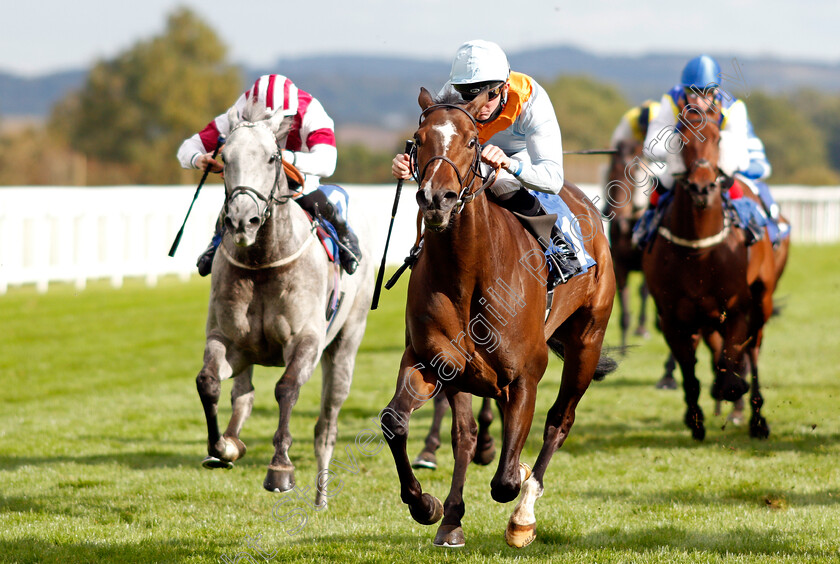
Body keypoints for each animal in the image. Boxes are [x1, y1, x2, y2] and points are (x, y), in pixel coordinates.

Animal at [195, 106, 372, 506]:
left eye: (272, 158)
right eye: (224, 158)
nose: (241, 220)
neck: (264, 263)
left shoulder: (306, 341)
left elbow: (286, 389)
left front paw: (280, 468)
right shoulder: (227, 341)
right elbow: (208, 382)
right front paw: (221, 447)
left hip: (345, 347)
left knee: (326, 426)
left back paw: (321, 496)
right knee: (243, 396)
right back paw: (232, 442)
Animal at [380, 87, 616, 548]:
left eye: (473, 141)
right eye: (418, 140)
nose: (436, 199)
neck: (468, 272)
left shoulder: (526, 372)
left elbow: (505, 480)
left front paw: (517, 495)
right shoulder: (431, 361)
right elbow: (397, 423)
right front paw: (429, 506)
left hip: (586, 343)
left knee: (558, 421)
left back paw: (524, 512)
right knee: (467, 435)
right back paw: (453, 514)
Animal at [644, 99, 788, 438]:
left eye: (718, 138)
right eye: (680, 138)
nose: (701, 188)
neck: (700, 250)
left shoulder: (736, 308)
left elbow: (731, 363)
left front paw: (731, 390)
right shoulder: (672, 317)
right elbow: (689, 370)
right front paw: (695, 418)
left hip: (762, 300)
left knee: (753, 350)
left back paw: (757, 419)